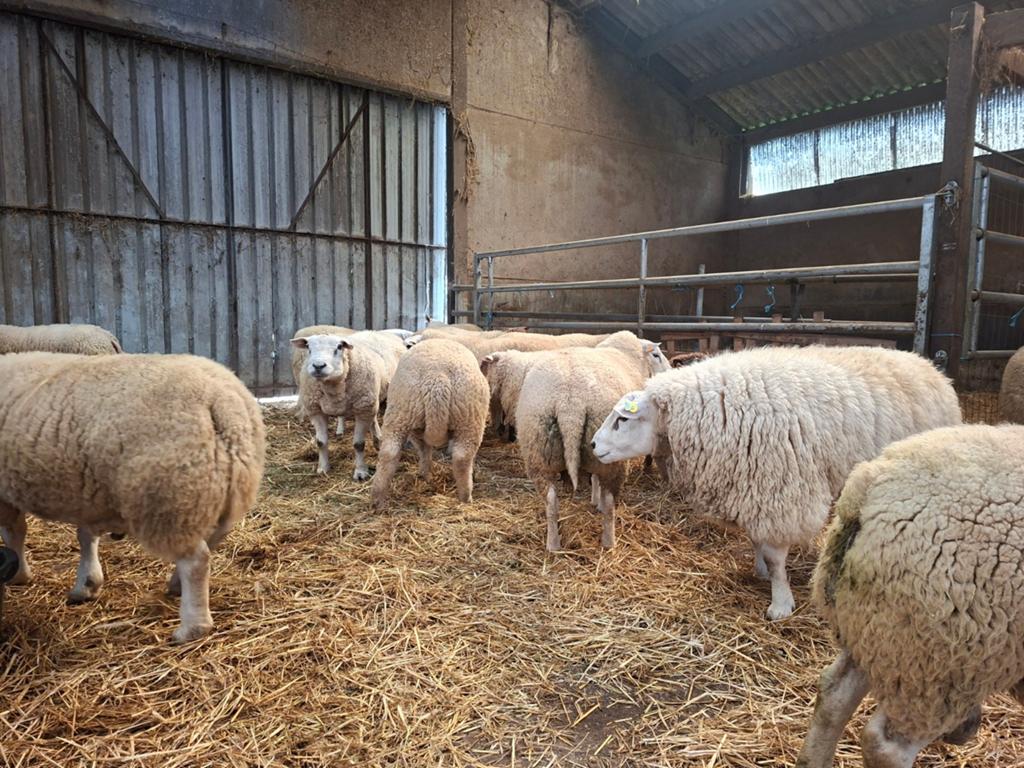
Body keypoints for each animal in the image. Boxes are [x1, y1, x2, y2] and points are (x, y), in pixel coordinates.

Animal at [0, 352, 265, 643]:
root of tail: (222, 400)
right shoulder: (89, 493)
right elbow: (85, 536)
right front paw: (87, 583)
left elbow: (14, 533)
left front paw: (19, 574)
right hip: (217, 491)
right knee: (213, 539)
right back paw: (176, 585)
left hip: (168, 498)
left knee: (196, 561)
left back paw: (191, 628)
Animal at [292, 330, 405, 480]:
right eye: (308, 348)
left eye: (339, 347)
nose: (318, 366)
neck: (332, 388)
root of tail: (373, 331)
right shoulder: (315, 411)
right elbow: (321, 442)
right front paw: (323, 468)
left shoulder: (363, 409)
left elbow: (359, 444)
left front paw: (361, 472)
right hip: (370, 398)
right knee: (373, 418)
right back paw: (377, 439)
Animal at [371, 339, 489, 509]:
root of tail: (436, 378)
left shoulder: (417, 430)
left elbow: (424, 449)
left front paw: (424, 474)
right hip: (470, 421)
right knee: (462, 459)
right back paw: (466, 498)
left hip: (401, 414)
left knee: (388, 453)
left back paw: (377, 500)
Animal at [515, 331, 670, 552]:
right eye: (656, 355)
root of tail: (569, 402)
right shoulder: (605, 447)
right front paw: (598, 503)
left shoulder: (598, 447)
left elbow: (594, 478)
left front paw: (594, 500)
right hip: (611, 460)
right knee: (611, 503)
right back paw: (609, 542)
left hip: (538, 451)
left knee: (550, 501)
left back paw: (553, 544)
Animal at [590, 345, 962, 620]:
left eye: (623, 419)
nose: (593, 445)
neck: (711, 409)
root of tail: (929, 366)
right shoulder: (752, 488)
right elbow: (758, 541)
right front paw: (761, 572)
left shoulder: (780, 489)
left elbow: (775, 557)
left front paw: (780, 603)